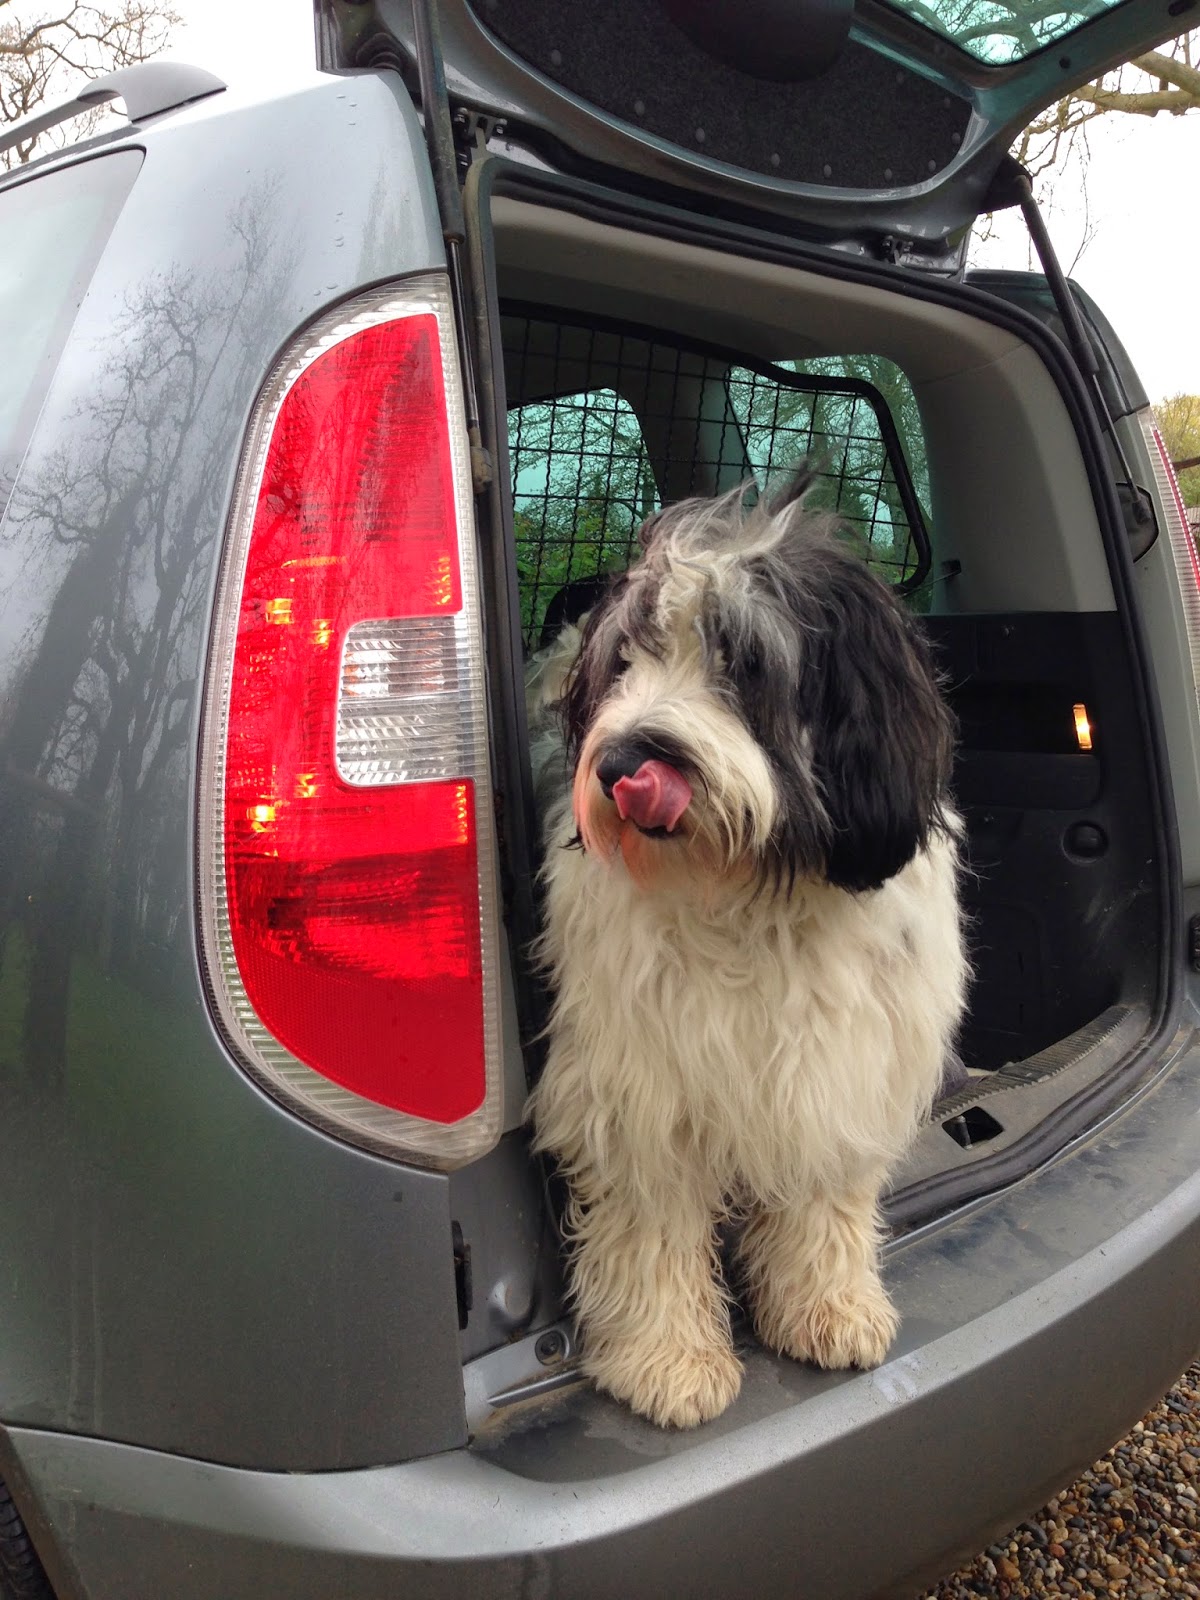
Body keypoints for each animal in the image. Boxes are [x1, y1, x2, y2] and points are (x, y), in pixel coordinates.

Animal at [527, 473, 967, 1429]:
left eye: (743, 662)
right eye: (628, 659)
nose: (619, 761)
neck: (747, 890)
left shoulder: (840, 1066)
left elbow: (823, 1190)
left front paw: (826, 1303)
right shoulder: (638, 1086)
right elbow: (651, 1218)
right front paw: (666, 1357)